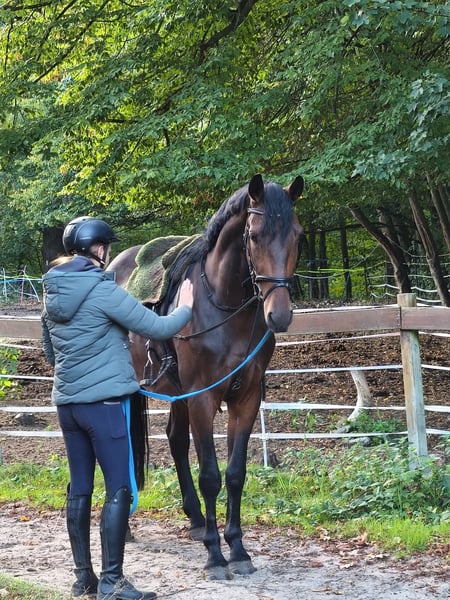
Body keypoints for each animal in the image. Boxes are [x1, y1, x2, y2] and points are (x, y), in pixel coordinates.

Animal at [108, 174, 304, 580]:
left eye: (298, 234)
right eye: (254, 236)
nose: (278, 315)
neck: (223, 306)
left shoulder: (246, 398)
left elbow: (235, 473)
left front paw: (238, 549)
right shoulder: (202, 397)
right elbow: (211, 476)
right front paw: (216, 555)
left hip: (177, 393)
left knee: (175, 440)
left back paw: (197, 520)